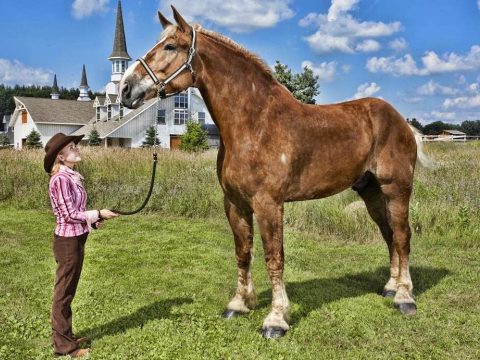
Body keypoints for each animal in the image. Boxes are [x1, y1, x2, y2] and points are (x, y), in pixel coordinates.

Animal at [120, 7, 428, 338]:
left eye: (169, 46)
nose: (125, 89)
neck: (254, 124)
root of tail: (401, 121)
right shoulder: (235, 203)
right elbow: (244, 252)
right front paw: (239, 304)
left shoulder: (268, 204)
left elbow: (273, 257)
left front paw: (276, 319)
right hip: (371, 192)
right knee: (389, 235)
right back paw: (390, 287)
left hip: (397, 189)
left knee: (402, 236)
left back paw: (404, 297)